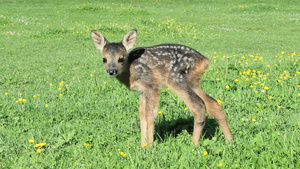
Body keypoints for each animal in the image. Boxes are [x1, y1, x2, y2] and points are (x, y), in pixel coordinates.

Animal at [90, 29, 233, 148]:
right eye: (104, 59)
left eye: (121, 58)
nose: (111, 71)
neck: (131, 69)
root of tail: (205, 60)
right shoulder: (142, 90)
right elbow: (141, 114)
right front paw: (142, 145)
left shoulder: (151, 85)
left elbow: (150, 114)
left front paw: (150, 146)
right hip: (193, 82)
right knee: (212, 103)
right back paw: (229, 140)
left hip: (176, 78)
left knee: (198, 105)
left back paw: (194, 145)